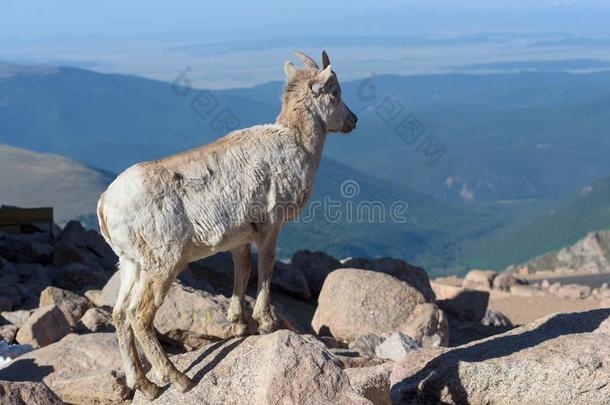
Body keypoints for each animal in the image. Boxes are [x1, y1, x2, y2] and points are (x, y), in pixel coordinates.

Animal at [96, 51, 356, 398]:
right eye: (336, 92)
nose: (353, 121)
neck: (297, 145)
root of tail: (105, 206)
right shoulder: (270, 226)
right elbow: (267, 266)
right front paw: (266, 323)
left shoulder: (240, 238)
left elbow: (242, 270)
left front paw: (239, 326)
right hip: (162, 265)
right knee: (140, 316)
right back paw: (182, 380)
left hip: (130, 264)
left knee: (120, 314)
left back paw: (147, 386)